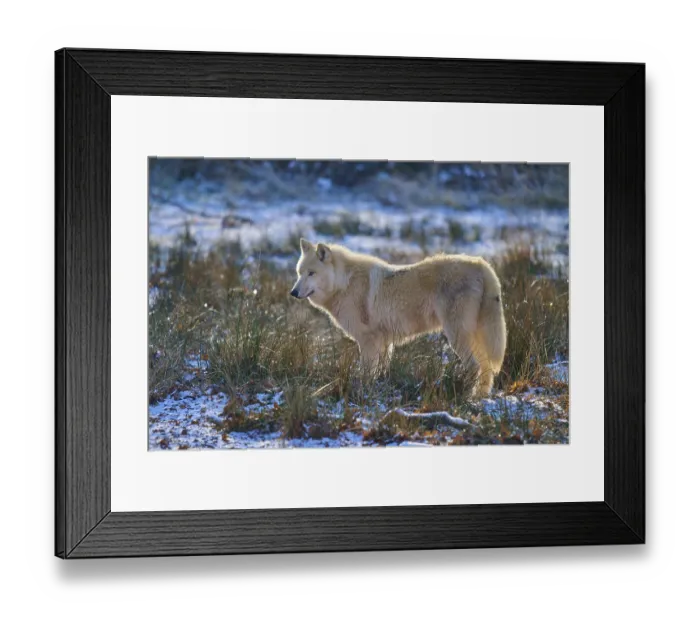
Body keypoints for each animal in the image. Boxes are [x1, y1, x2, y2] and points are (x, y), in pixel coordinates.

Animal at [290, 239, 507, 397]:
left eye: (311, 273)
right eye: (299, 273)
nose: (293, 292)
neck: (344, 283)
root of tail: (482, 264)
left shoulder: (368, 340)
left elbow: (366, 372)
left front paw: (362, 392)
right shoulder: (384, 342)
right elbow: (381, 371)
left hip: (457, 336)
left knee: (475, 366)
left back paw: (464, 396)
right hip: (475, 336)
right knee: (486, 368)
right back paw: (480, 398)